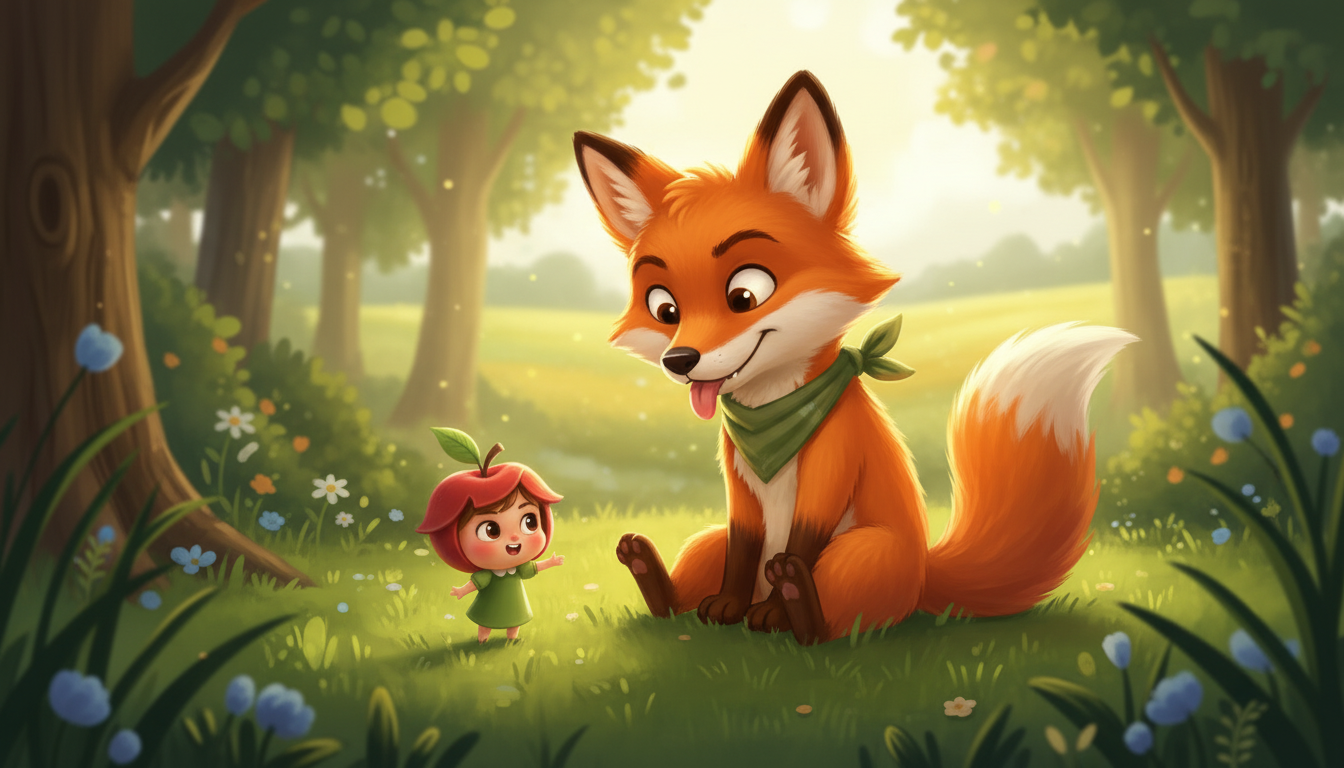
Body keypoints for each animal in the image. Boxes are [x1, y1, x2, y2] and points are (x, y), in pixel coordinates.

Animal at [572, 70, 1135, 644]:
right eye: (665, 308)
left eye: (745, 294)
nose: (680, 359)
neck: (773, 418)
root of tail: (925, 575)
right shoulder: (740, 495)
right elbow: (743, 552)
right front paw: (728, 606)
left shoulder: (832, 468)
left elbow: (801, 541)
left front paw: (771, 613)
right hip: (706, 542)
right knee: (685, 591)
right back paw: (653, 575)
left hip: (860, 552)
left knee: (831, 623)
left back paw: (795, 606)